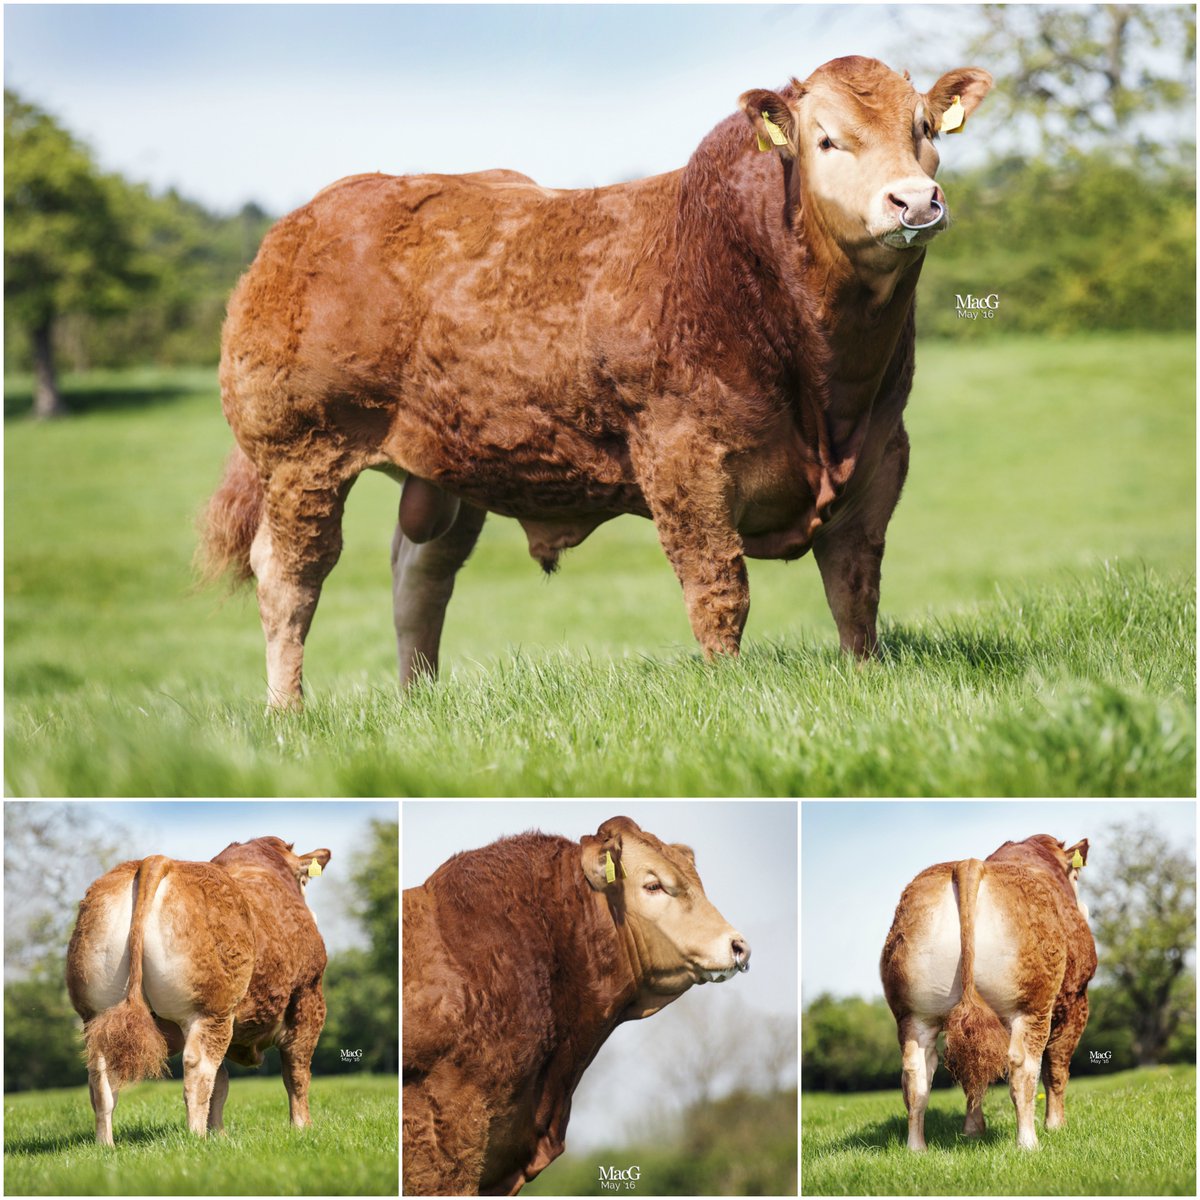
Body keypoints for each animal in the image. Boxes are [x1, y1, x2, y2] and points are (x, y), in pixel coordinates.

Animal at [65, 836, 331, 1145]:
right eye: (304, 881)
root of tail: (156, 860)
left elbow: (223, 1084)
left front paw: (219, 1133)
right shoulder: (308, 995)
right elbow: (296, 1073)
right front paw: (302, 1127)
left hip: (96, 1015)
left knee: (101, 1080)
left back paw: (105, 1144)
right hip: (209, 1012)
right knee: (198, 1071)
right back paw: (196, 1138)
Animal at [199, 56, 992, 708]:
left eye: (924, 128)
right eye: (827, 140)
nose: (915, 200)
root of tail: (302, 222)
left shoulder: (882, 455)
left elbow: (856, 591)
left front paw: (866, 678)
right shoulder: (684, 461)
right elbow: (719, 590)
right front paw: (730, 692)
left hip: (446, 464)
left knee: (419, 576)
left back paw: (416, 699)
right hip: (301, 453)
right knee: (290, 578)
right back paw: (286, 712)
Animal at [879, 835, 1097, 1152]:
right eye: (1077, 876)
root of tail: (968, 865)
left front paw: (973, 1131)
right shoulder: (1076, 1000)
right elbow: (1057, 1068)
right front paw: (1056, 1125)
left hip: (913, 1013)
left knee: (918, 1073)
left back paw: (917, 1148)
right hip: (1031, 1007)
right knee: (1023, 1068)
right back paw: (1028, 1142)